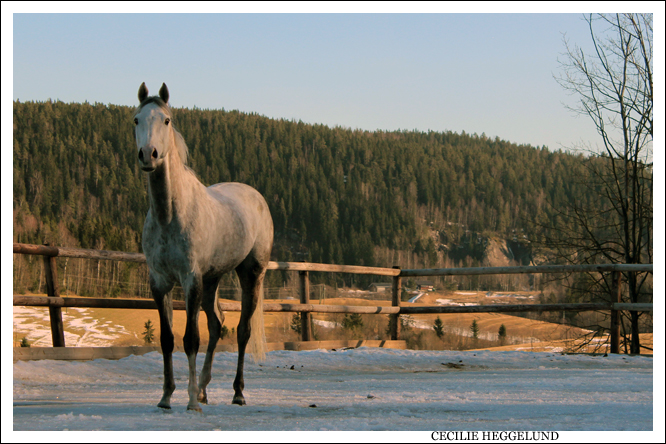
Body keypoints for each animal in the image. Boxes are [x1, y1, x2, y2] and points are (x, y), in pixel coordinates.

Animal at [133, 82, 272, 410]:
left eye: (166, 120)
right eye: (136, 119)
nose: (148, 155)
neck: (171, 213)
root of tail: (256, 197)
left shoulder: (190, 279)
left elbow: (190, 339)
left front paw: (189, 402)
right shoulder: (160, 281)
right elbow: (168, 339)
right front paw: (166, 396)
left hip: (251, 274)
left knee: (243, 331)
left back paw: (236, 393)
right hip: (212, 279)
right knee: (217, 324)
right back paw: (205, 390)